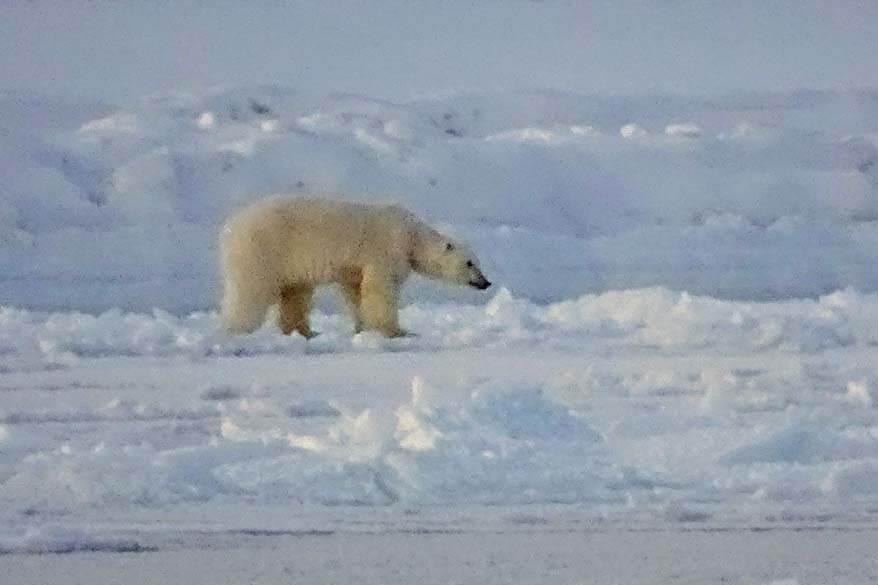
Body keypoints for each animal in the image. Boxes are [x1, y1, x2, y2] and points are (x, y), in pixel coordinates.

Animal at [220, 195, 492, 336]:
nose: (486, 282)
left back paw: (305, 332)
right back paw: (237, 329)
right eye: (470, 263)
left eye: (478, 262)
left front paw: (362, 328)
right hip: (263, 250)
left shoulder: (354, 267)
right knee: (251, 292)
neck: (411, 236)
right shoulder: (384, 250)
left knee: (295, 293)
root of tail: (230, 230)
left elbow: (356, 291)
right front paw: (395, 331)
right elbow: (380, 290)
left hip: (288, 261)